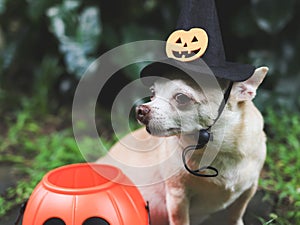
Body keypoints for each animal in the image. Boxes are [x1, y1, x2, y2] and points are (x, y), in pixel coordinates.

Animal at [97, 66, 268, 224]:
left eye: (181, 98)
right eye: (153, 94)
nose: (140, 109)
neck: (219, 152)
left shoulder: (249, 189)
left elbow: (236, 214)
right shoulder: (178, 196)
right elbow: (181, 220)